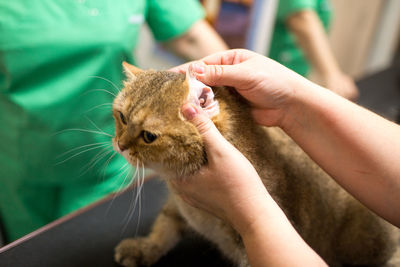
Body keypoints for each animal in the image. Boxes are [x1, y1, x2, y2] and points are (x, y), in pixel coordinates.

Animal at [111, 63, 396, 267]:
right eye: (122, 117)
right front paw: (145, 247)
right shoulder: (176, 208)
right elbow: (164, 228)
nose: (120, 145)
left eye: (149, 136)